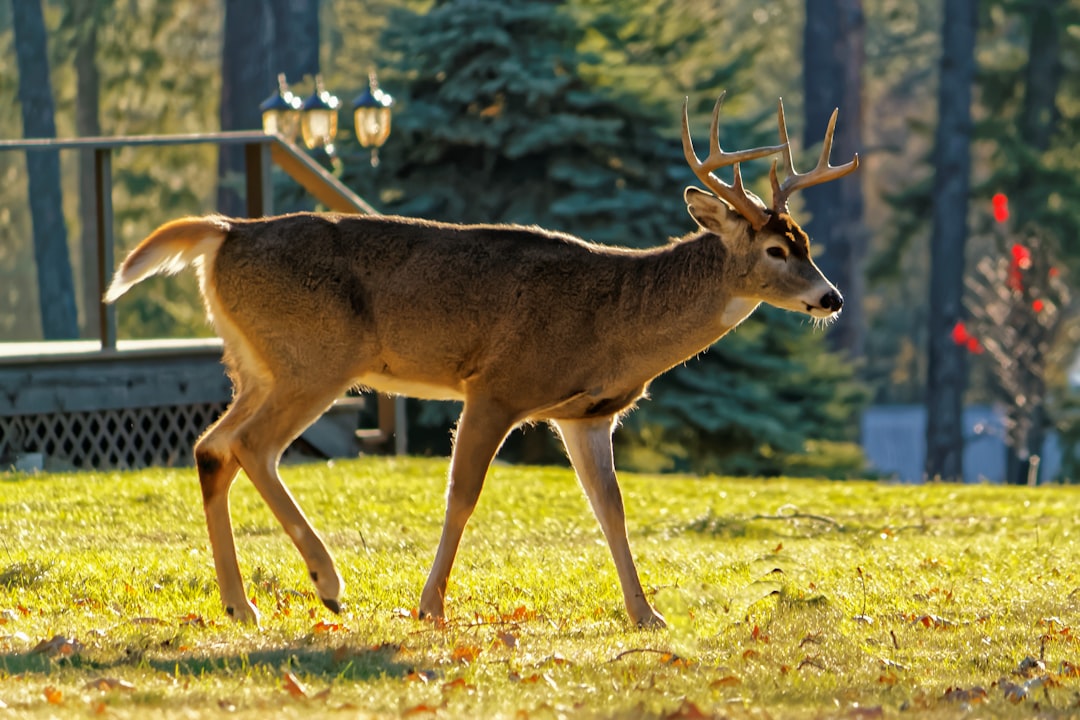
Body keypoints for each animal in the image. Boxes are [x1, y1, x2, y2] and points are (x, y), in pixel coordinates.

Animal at [105, 92, 855, 626]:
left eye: (807, 240)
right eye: (776, 250)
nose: (832, 297)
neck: (616, 321)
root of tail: (225, 232)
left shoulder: (586, 415)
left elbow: (610, 509)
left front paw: (647, 615)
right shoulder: (496, 386)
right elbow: (461, 495)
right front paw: (429, 606)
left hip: (258, 365)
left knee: (212, 447)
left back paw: (241, 604)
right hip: (315, 359)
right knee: (253, 447)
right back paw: (328, 583)